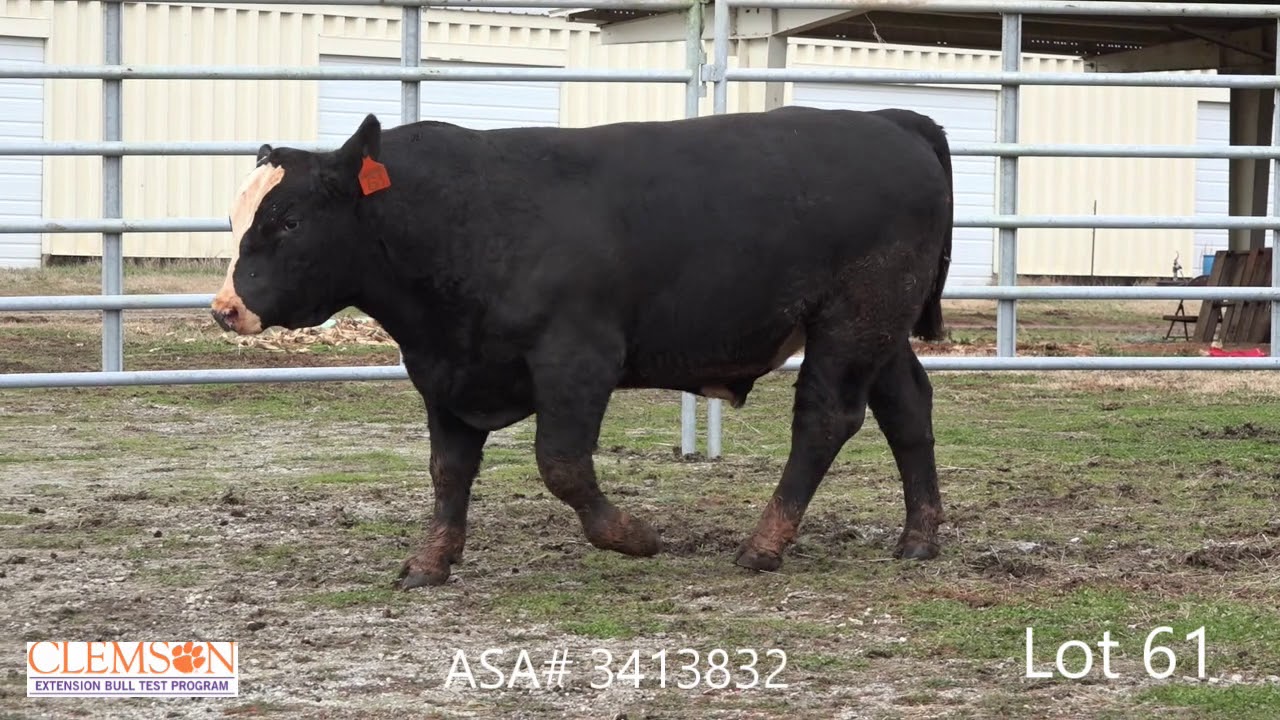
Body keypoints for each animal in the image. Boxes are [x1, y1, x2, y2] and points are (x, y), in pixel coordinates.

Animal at [211, 106, 954, 590]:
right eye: (238, 217)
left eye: (288, 220)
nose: (225, 309)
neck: (466, 216)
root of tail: (888, 121)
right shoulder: (444, 371)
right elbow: (448, 472)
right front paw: (430, 561)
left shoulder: (577, 361)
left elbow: (562, 465)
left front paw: (635, 537)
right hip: (881, 333)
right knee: (908, 410)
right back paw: (918, 538)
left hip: (851, 323)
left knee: (824, 420)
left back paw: (763, 544)